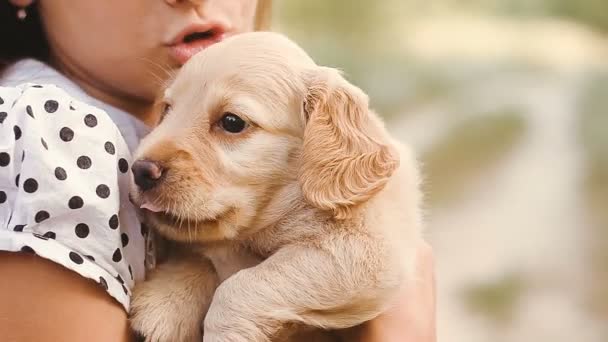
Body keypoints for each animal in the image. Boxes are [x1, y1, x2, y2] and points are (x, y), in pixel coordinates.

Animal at [128, 32, 422, 342]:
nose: (141, 171)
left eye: (232, 122)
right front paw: (165, 304)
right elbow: (200, 257)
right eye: (167, 110)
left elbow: (240, 287)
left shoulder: (369, 250)